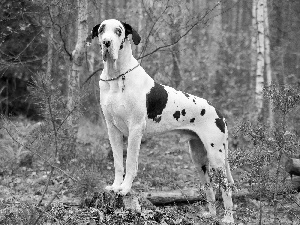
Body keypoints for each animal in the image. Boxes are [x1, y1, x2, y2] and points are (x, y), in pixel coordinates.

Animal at [86, 19, 234, 223]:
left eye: (118, 31)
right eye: (101, 30)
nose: (106, 43)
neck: (116, 77)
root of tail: (219, 113)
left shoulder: (135, 130)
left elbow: (130, 163)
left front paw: (125, 189)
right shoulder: (112, 129)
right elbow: (117, 163)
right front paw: (115, 186)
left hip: (216, 155)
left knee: (225, 186)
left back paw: (228, 218)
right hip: (199, 159)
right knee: (209, 185)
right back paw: (210, 214)